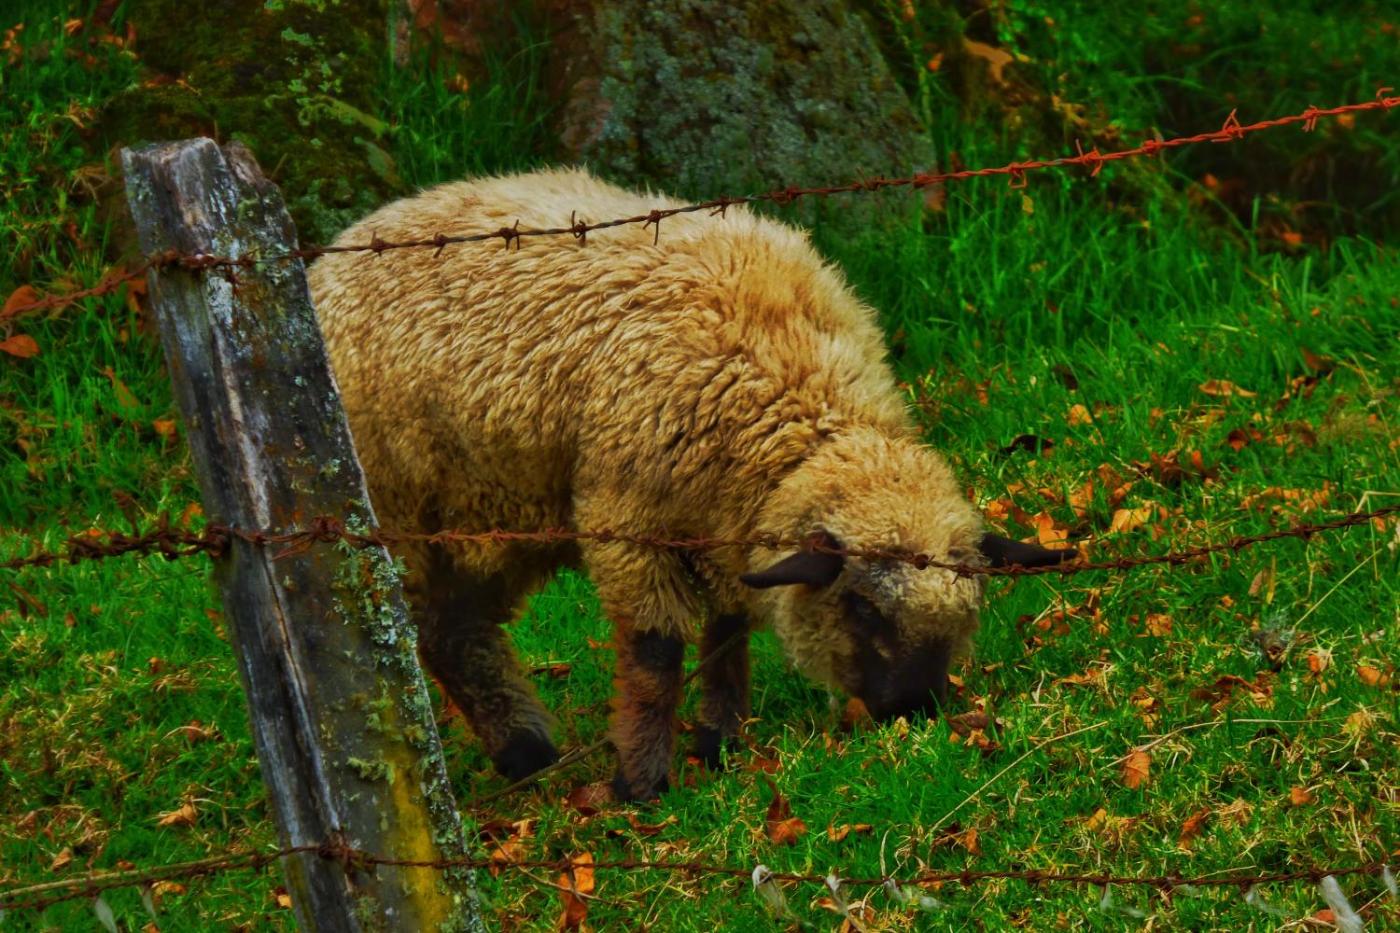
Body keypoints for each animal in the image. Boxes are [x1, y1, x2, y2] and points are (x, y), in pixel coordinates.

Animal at [306, 168, 1073, 801]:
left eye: (970, 610)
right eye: (859, 605)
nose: (911, 711)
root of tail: (327, 255)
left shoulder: (725, 521)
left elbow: (728, 633)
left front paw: (719, 743)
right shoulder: (627, 520)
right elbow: (655, 652)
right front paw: (642, 782)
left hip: (491, 516)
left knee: (455, 629)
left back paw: (528, 753)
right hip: (401, 512)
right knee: (426, 629)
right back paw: (516, 754)